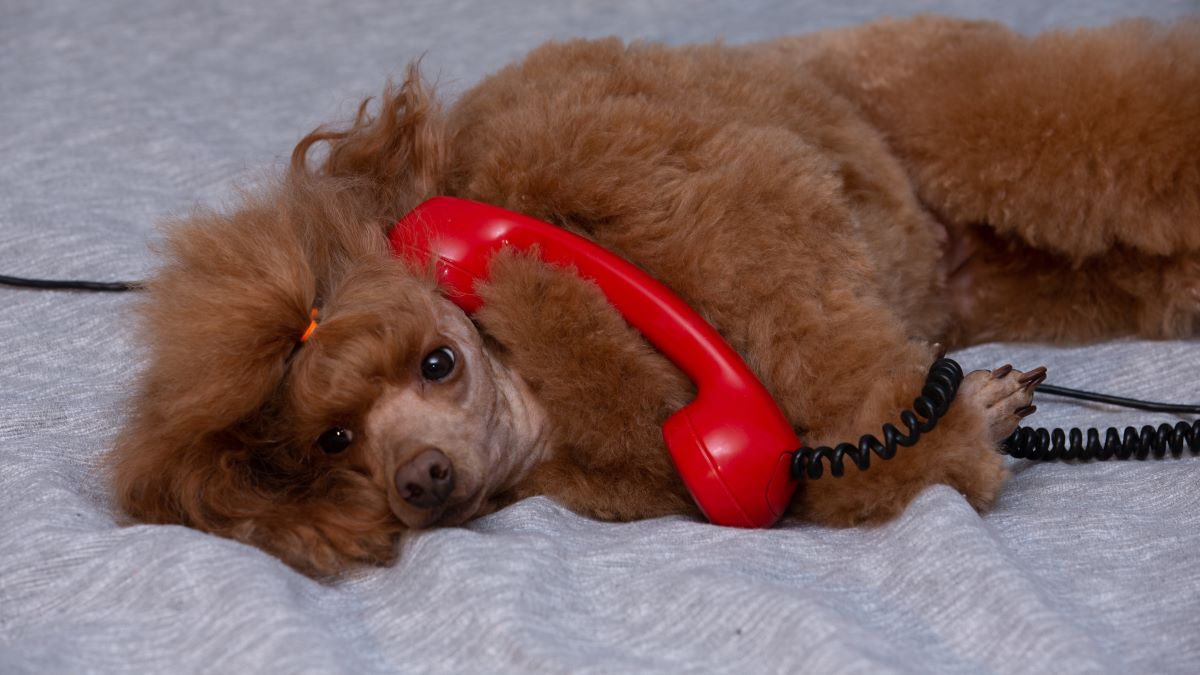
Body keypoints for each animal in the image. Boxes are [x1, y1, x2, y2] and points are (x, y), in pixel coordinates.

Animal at [105, 14, 1200, 571]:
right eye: (333, 442)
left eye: (438, 362)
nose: (420, 478)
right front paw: (960, 419)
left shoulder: (730, 206)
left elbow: (817, 335)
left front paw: (950, 432)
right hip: (1016, 274)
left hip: (962, 113)